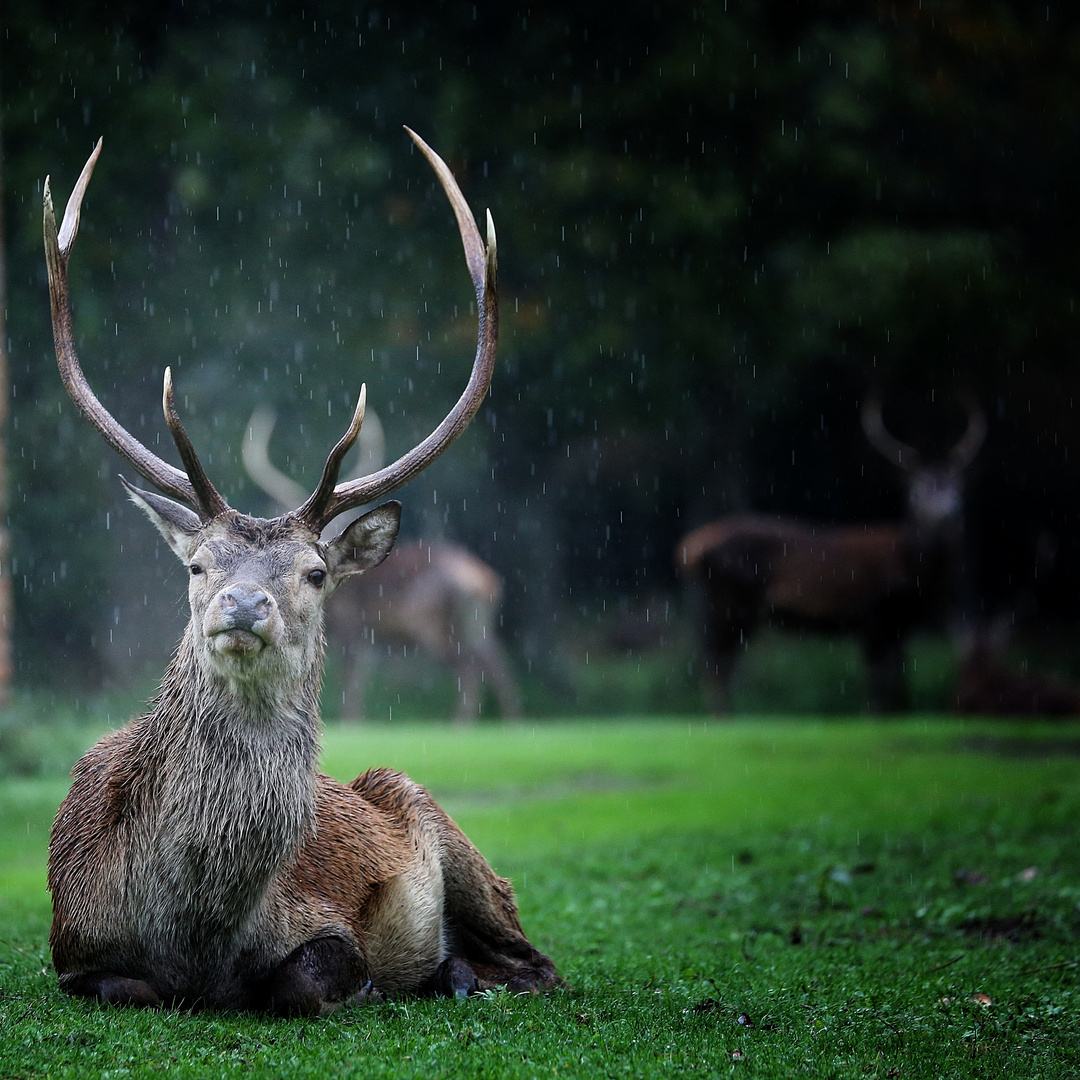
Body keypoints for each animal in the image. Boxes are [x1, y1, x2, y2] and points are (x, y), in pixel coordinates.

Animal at [243, 401, 520, 721]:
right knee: (496, 662)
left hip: (439, 627)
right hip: (477, 624)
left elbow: (352, 683)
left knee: (472, 667)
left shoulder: (357, 629)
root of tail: (487, 581)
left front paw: (351, 721)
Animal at [678, 393, 984, 712]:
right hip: (732, 602)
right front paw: (875, 715)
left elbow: (898, 681)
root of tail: (689, 548)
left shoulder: (898, 625)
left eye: (957, 486)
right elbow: (878, 682)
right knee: (717, 661)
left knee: (718, 660)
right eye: (920, 489)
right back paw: (724, 716)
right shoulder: (872, 613)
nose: (950, 512)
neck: (917, 575)